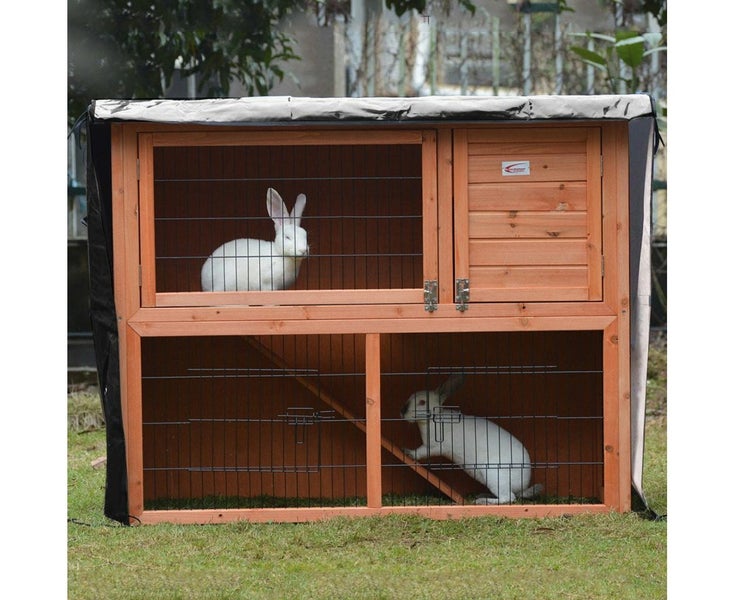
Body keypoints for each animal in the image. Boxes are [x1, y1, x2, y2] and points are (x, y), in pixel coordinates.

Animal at [400, 373, 543, 505]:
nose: (402, 411)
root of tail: (523, 485)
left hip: (494, 474)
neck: (433, 419)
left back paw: (482, 501)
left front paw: (407, 452)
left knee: (508, 497)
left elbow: (421, 452)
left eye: (422, 402)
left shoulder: (435, 447)